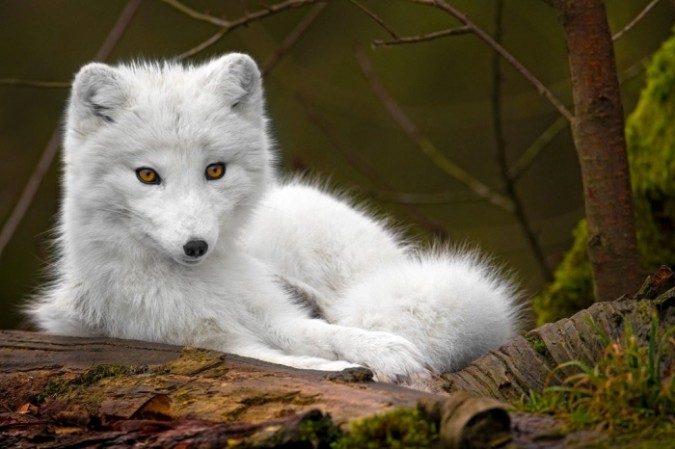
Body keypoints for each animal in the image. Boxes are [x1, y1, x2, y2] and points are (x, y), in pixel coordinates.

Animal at [28, 53, 521, 386]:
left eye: (215, 170)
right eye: (147, 175)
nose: (195, 246)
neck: (200, 286)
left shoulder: (274, 317)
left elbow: (326, 332)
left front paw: (382, 351)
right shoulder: (209, 344)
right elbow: (289, 362)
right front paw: (350, 368)